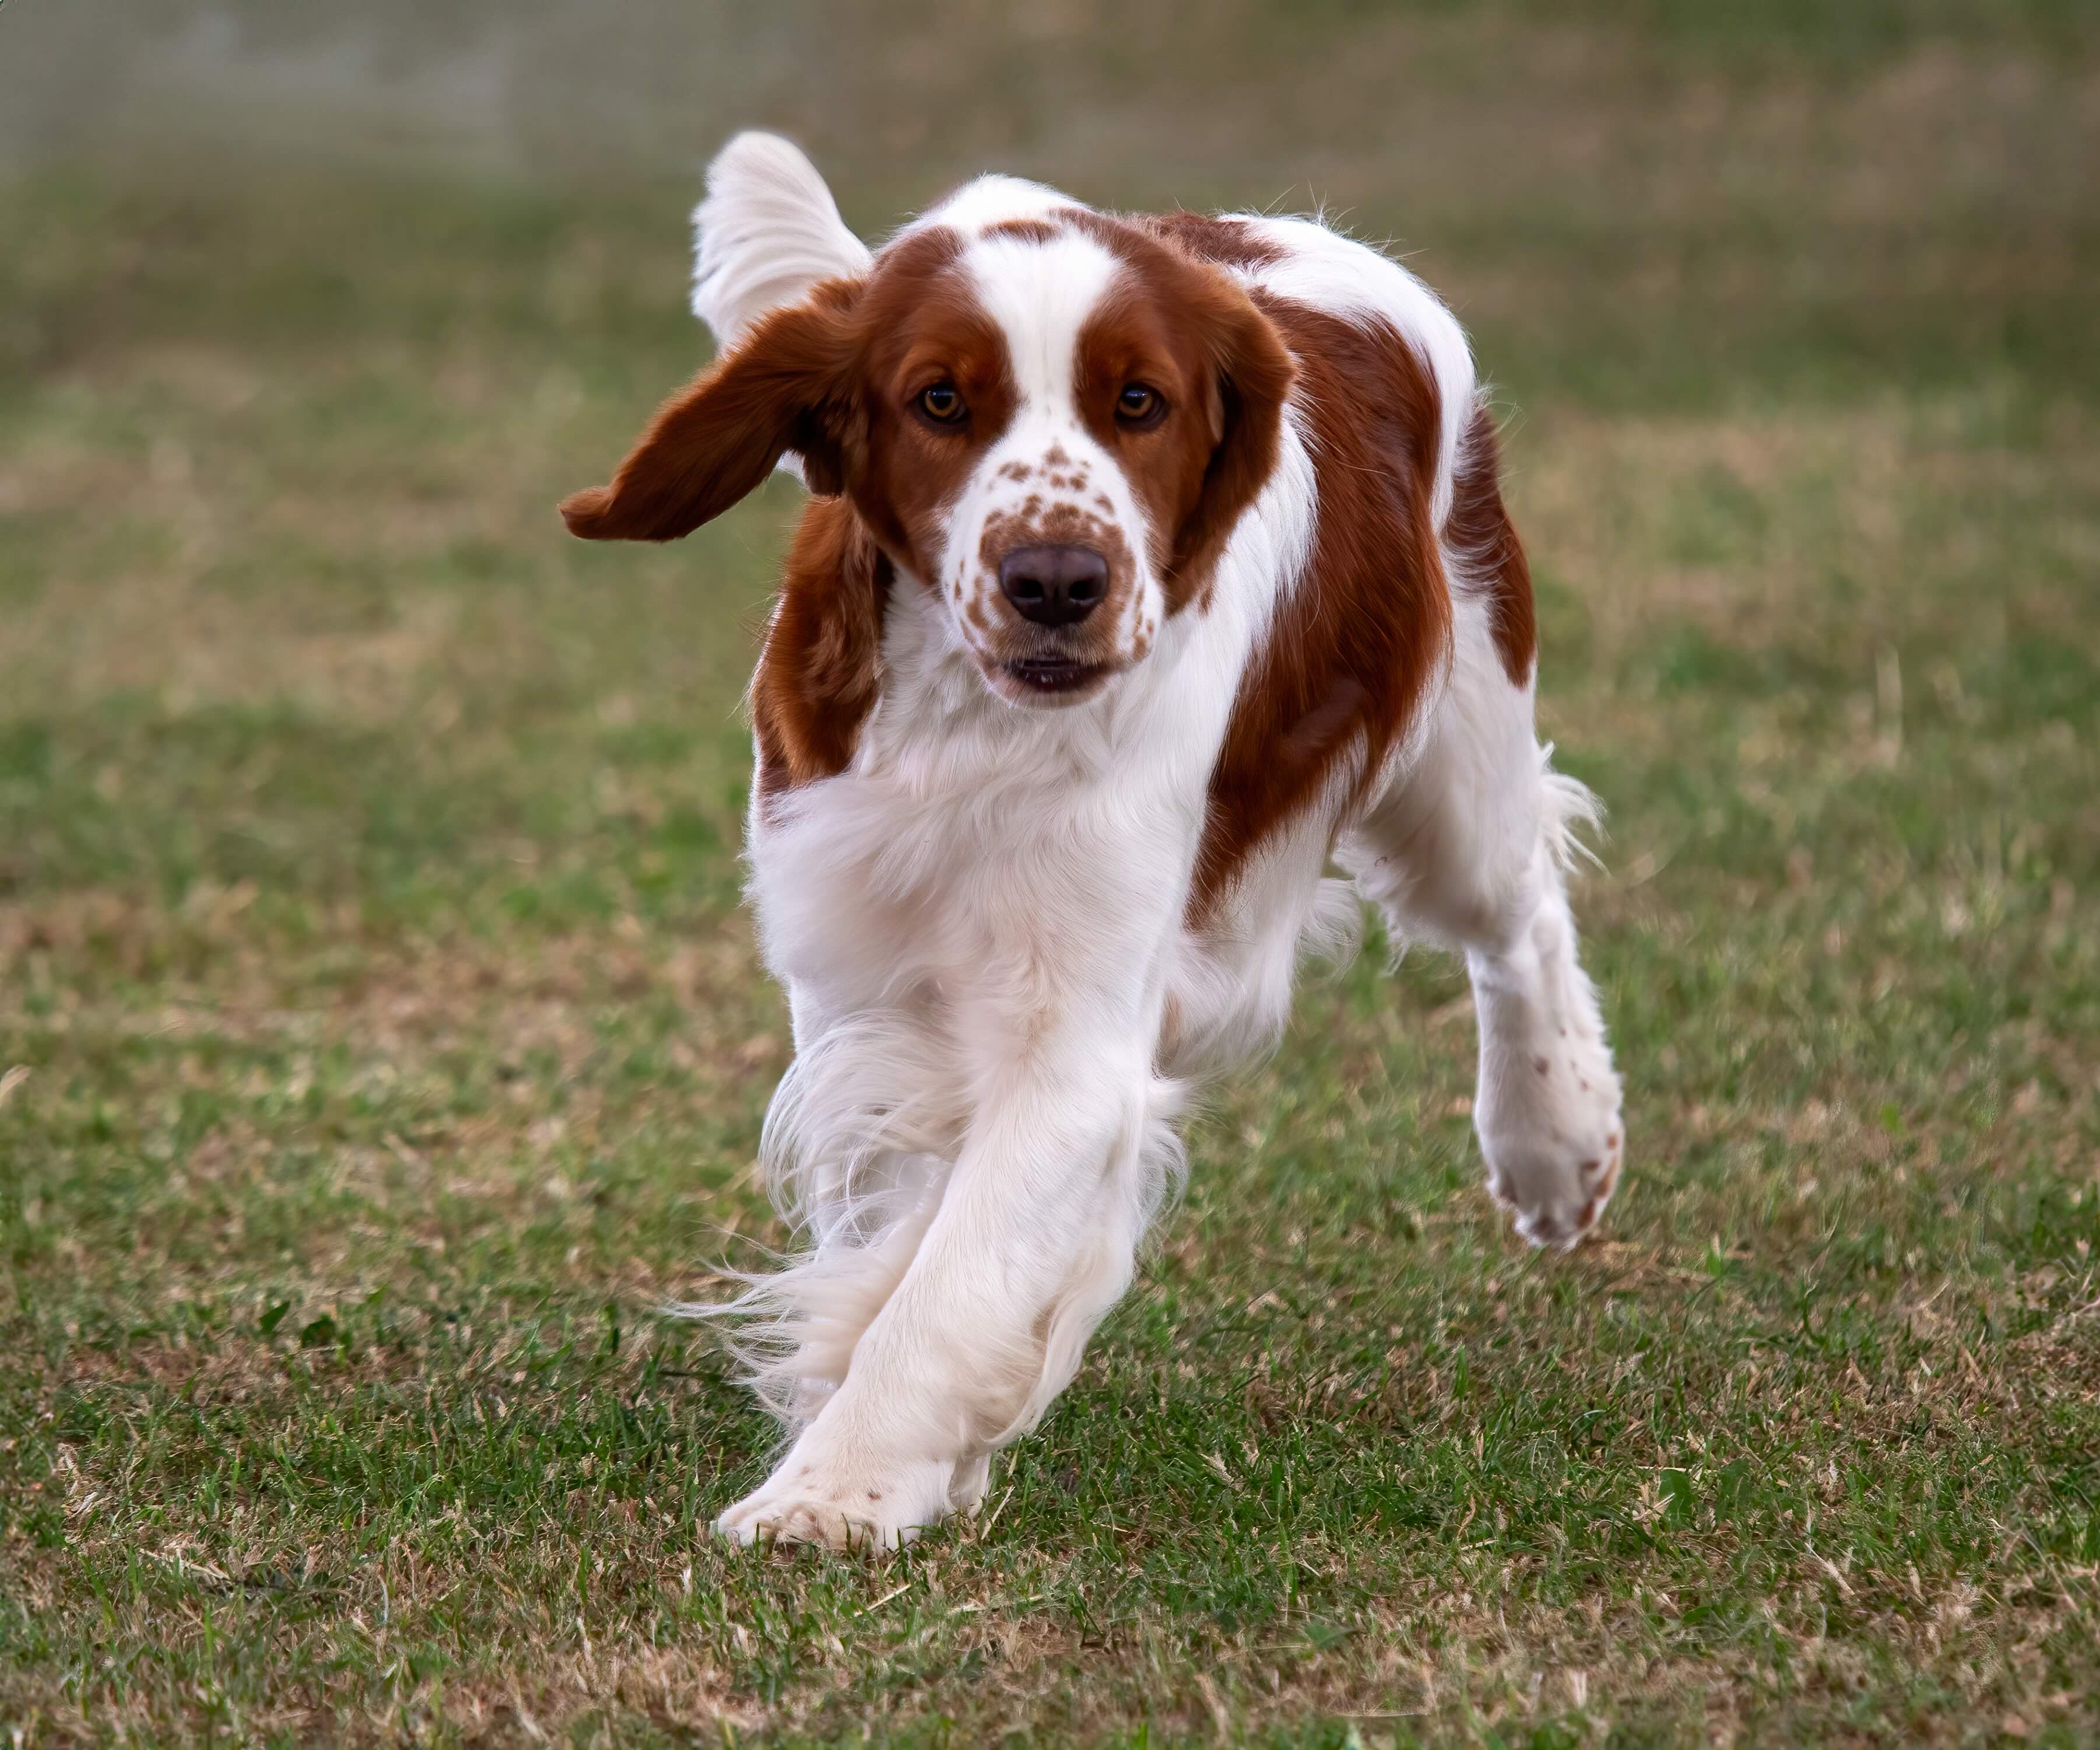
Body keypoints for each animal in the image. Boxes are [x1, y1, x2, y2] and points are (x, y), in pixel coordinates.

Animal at [558, 139, 1621, 1555]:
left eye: (1139, 402)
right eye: (940, 400)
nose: (1057, 581)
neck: (973, 721)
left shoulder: (1075, 1037)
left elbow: (953, 1275)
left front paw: (839, 1491)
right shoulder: (855, 972)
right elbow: (898, 1217)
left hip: (1458, 755)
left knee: (1519, 912)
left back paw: (1558, 1140)